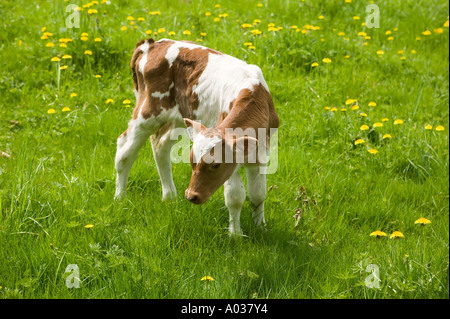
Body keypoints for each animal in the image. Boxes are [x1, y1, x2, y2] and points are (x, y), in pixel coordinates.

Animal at [114, 38, 280, 236]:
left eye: (215, 164)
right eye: (192, 161)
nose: (190, 195)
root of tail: (154, 44)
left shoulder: (261, 155)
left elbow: (258, 194)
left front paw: (260, 226)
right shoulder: (232, 165)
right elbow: (235, 197)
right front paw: (235, 235)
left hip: (180, 118)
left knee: (160, 145)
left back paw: (170, 196)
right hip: (147, 113)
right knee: (124, 151)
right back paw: (120, 197)